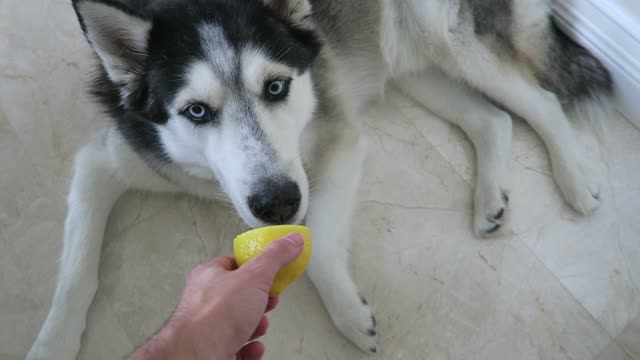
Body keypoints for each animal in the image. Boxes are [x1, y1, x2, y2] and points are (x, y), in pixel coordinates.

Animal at [27, 0, 612, 356]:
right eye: (196, 111)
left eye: (277, 87)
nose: (277, 203)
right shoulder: (111, 160)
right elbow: (76, 272)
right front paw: (53, 341)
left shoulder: (339, 141)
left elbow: (322, 244)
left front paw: (348, 311)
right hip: (409, 62)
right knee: (492, 119)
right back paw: (491, 196)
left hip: (442, 40)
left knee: (541, 102)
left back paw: (575, 180)